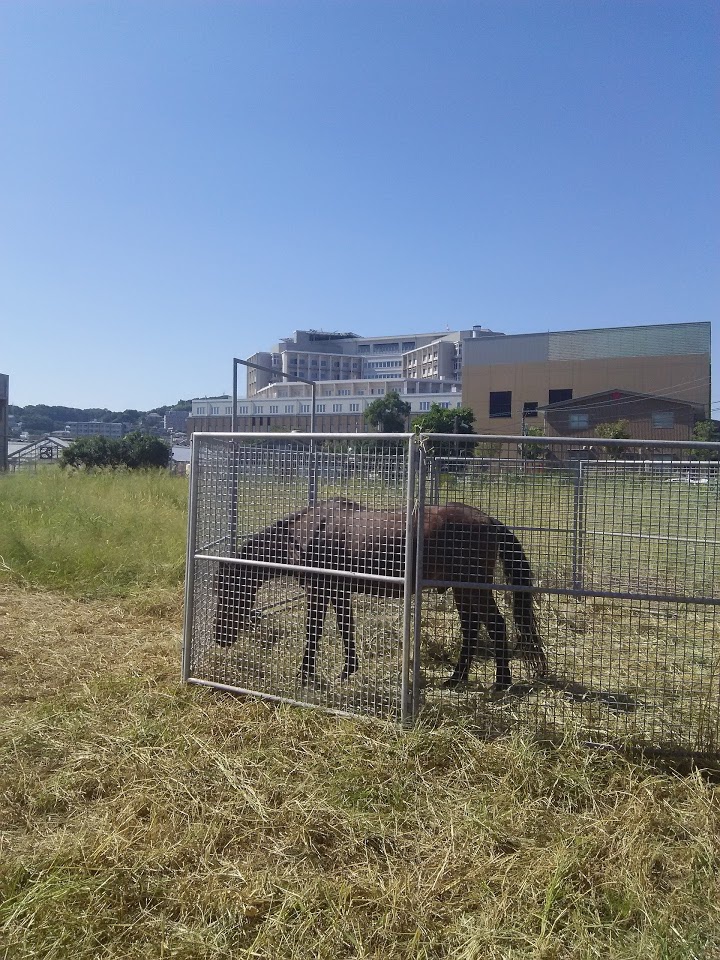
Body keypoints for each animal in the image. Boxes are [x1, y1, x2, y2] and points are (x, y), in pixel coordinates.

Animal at [214, 498, 544, 692]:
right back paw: (457, 678)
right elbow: (345, 628)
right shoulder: (338, 591)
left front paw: (305, 674)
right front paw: (347, 671)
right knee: (471, 629)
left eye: (227, 591)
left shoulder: (319, 591)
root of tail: (488, 520)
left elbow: (314, 632)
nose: (220, 637)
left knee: (497, 626)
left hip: (472, 587)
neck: (304, 535)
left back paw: (501, 683)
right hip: (463, 590)